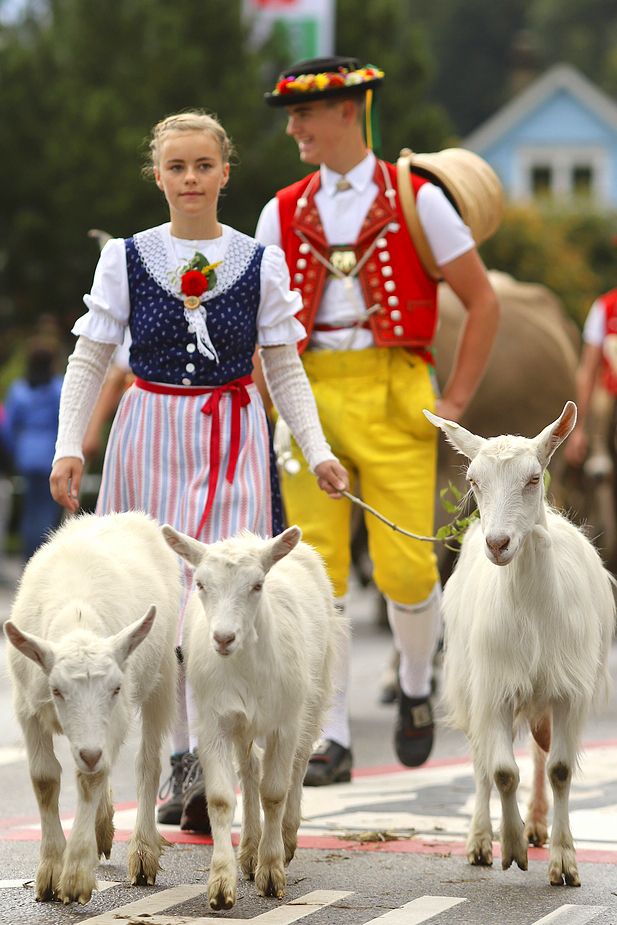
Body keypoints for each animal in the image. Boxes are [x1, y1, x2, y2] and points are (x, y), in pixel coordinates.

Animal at [3, 508, 180, 904]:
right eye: (56, 690)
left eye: (115, 688)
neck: (77, 618)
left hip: (162, 678)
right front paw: (50, 871)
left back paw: (142, 852)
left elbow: (92, 776)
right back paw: (103, 827)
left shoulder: (117, 714)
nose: (88, 751)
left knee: (146, 762)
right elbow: (45, 779)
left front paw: (75, 875)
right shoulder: (27, 709)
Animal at [161, 524, 340, 912]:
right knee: (250, 772)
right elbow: (221, 798)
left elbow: (275, 792)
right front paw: (221, 883)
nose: (223, 638)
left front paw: (271, 872)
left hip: (314, 694)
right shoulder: (213, 722)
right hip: (243, 725)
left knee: (299, 765)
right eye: (201, 584)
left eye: (257, 585)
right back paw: (248, 851)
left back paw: (286, 839)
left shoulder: (284, 724)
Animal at [426, 404, 612, 888]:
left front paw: (564, 862)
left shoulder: (569, 691)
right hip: (470, 681)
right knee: (480, 763)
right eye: (473, 480)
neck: (532, 610)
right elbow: (502, 772)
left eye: (533, 478)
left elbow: (559, 770)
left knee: (540, 755)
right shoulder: (494, 687)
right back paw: (479, 840)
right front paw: (508, 848)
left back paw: (538, 823)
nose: (497, 544)